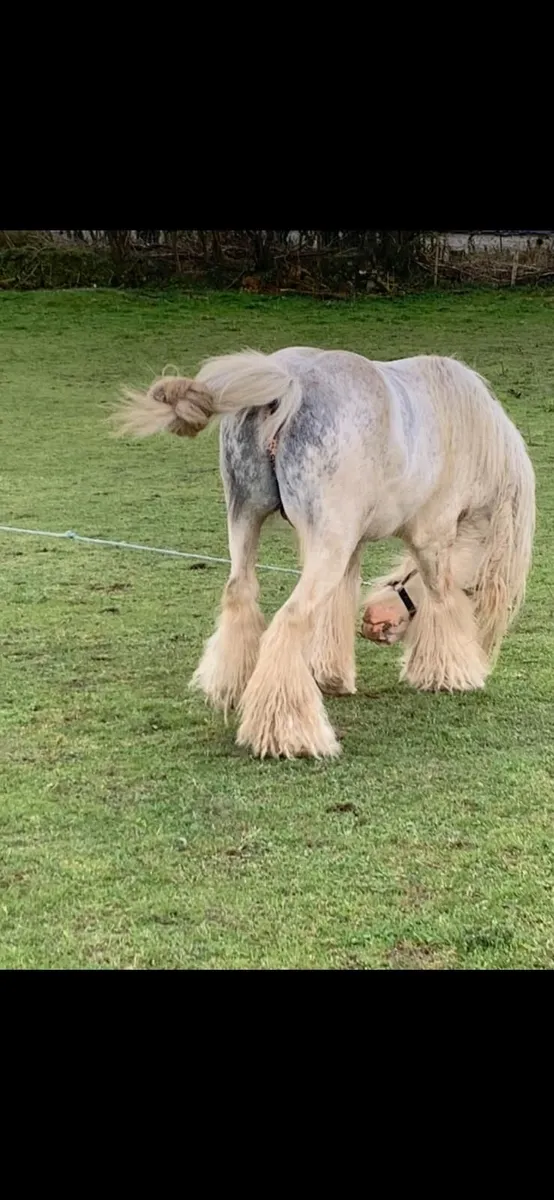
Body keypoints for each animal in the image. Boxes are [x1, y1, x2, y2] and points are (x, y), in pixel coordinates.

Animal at [116, 346, 535, 759]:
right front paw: (452, 673)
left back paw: (237, 690)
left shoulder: (351, 545)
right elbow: (442, 599)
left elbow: (338, 603)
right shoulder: (430, 539)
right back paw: (290, 735)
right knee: (289, 619)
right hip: (324, 544)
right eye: (475, 590)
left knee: (240, 595)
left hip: (246, 519)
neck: (466, 427)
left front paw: (331, 675)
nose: (375, 627)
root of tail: (289, 383)